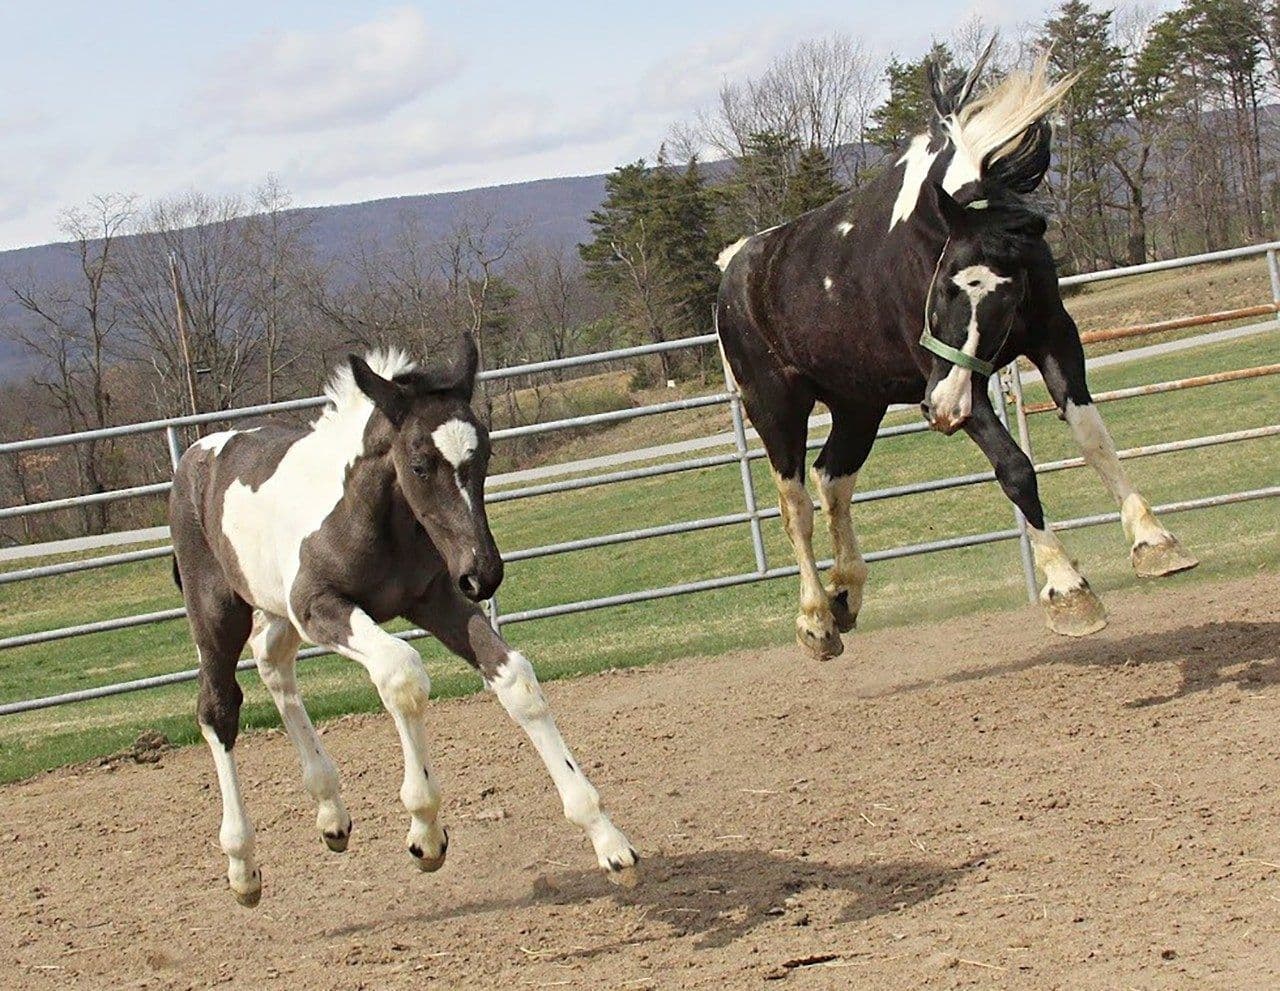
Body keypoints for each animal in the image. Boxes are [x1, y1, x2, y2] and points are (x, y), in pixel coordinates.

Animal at [170, 343, 640, 906]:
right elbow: (403, 675)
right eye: (419, 465)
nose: (484, 574)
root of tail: (196, 455)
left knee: (273, 664)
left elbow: (516, 680)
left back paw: (331, 814)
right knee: (219, 708)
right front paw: (426, 833)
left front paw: (608, 841)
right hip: (218, 611)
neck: (373, 515)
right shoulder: (319, 606)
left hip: (277, 609)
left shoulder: (436, 598)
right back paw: (243, 864)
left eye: (484, 457)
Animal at [716, 50, 1192, 665]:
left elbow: (1093, 437)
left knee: (832, 479)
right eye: (942, 286)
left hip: (858, 405)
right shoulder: (953, 377)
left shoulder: (1054, 339)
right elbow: (1014, 468)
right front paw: (1068, 589)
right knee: (795, 506)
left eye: (1009, 294)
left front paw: (1154, 540)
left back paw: (846, 593)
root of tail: (734, 266)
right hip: (776, 408)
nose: (940, 411)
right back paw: (817, 619)